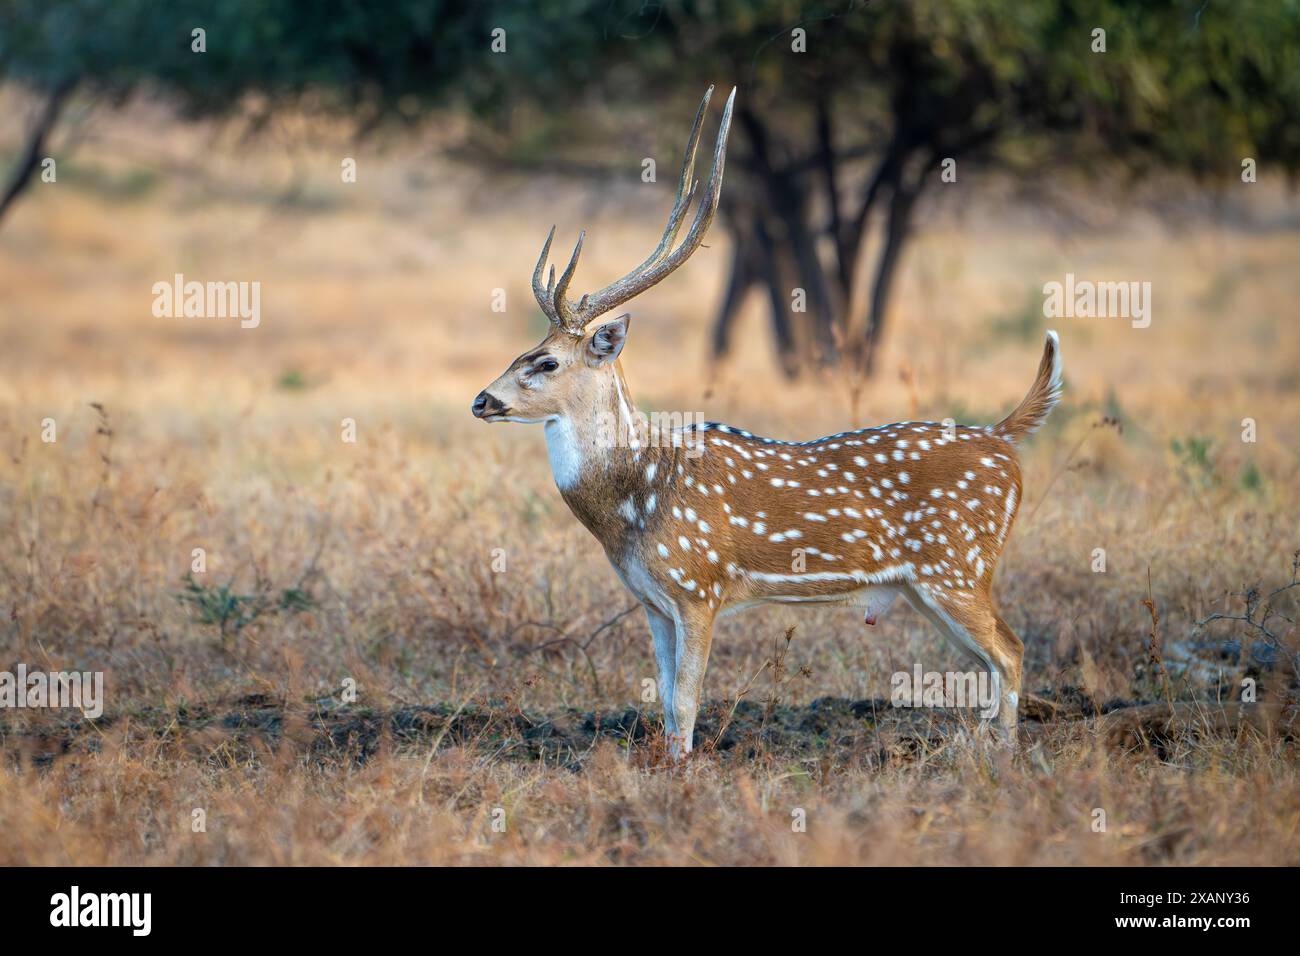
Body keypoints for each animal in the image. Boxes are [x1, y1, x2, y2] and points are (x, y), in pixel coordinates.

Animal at [472, 87, 1062, 758]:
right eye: (521, 351)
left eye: (545, 361)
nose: (482, 400)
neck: (635, 501)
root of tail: (1003, 438)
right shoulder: (651, 602)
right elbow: (666, 704)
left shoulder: (698, 586)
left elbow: (685, 703)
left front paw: (682, 772)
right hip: (927, 585)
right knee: (991, 660)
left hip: (957, 565)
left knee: (1011, 651)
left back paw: (1003, 758)